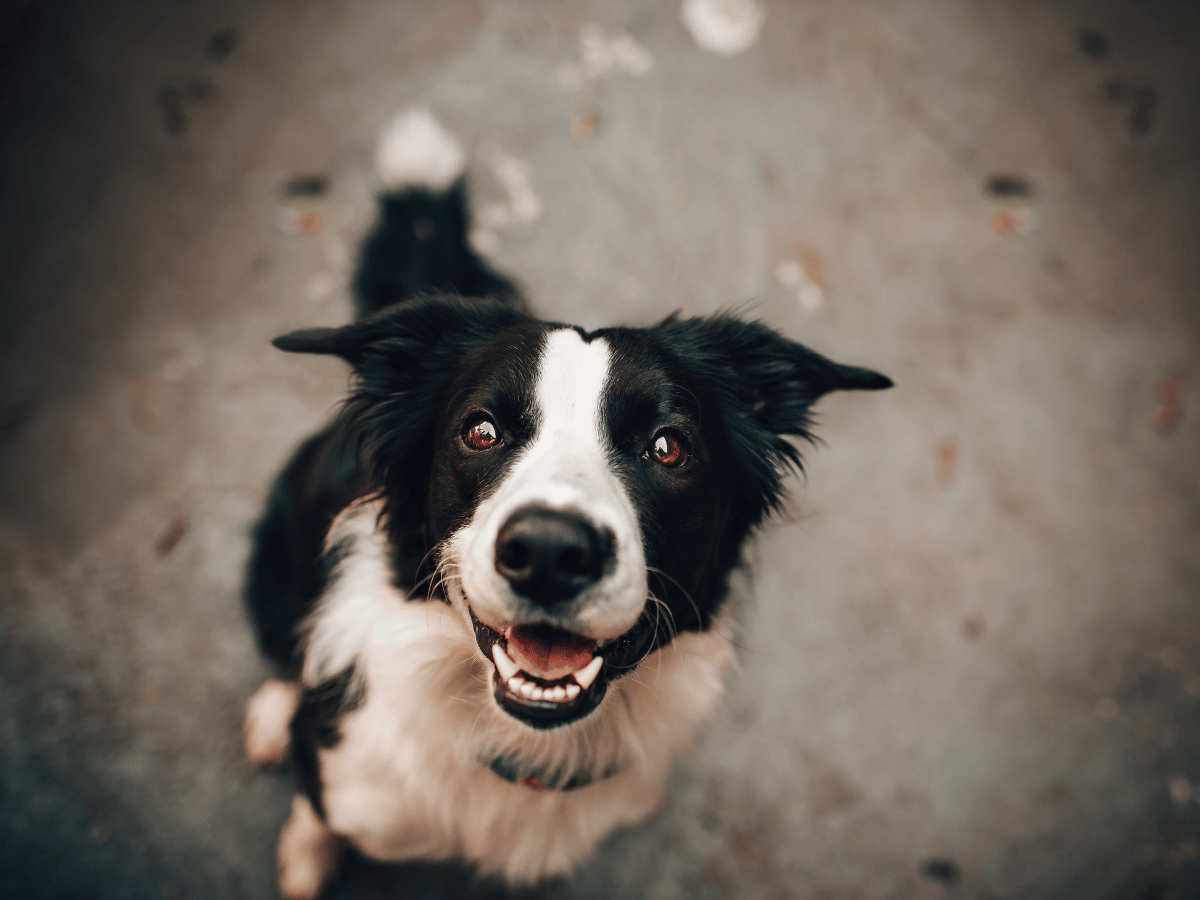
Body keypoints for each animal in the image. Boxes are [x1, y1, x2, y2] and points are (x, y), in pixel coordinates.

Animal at [241, 109, 892, 897]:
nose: (551, 553)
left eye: (669, 446)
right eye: (481, 430)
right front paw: (308, 853)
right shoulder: (347, 777)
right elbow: (317, 806)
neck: (522, 746)